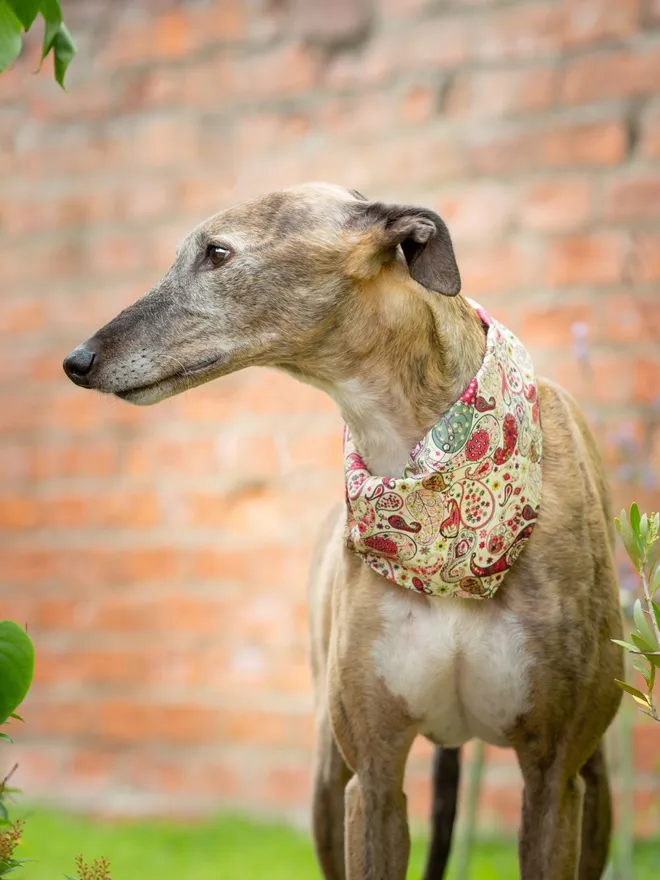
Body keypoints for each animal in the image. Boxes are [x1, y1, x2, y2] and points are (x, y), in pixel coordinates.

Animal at [63, 182, 624, 876]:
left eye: (217, 253)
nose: (77, 361)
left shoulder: (550, 775)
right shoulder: (373, 780)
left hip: (592, 785)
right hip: (327, 781)